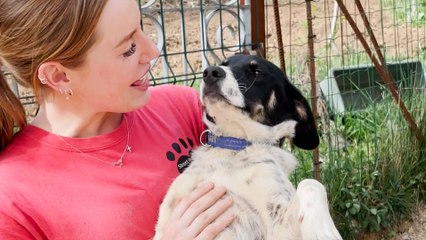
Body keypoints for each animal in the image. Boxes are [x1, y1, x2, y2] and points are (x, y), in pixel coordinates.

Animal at [155, 55, 342, 239]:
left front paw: (322, 230)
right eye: (224, 63)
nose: (210, 72)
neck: (236, 144)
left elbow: (311, 183)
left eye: (257, 71)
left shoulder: (277, 226)